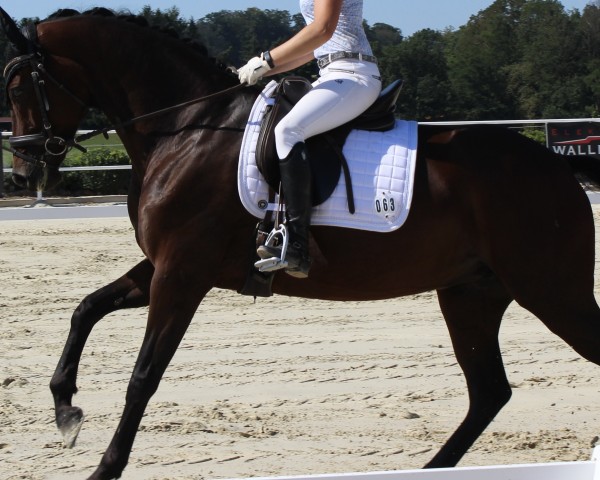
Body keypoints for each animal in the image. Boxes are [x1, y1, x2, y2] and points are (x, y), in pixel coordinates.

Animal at [1, 7, 600, 480]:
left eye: (20, 88)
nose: (24, 172)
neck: (188, 125)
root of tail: (558, 169)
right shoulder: (166, 266)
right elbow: (86, 308)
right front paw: (65, 412)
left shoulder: (182, 273)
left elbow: (144, 375)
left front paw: (103, 466)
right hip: (471, 293)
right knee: (488, 391)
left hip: (551, 291)